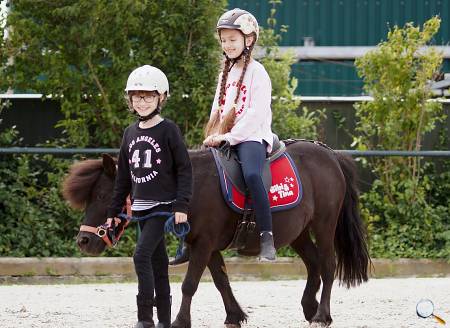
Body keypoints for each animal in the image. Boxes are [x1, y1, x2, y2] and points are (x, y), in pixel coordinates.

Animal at [64, 141, 372, 328]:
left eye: (103, 195)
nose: (84, 240)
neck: (190, 187)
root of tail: (331, 155)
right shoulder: (207, 246)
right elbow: (221, 281)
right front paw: (234, 315)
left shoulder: (204, 243)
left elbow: (189, 284)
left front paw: (180, 321)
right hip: (299, 233)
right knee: (314, 264)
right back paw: (310, 307)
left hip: (324, 224)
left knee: (328, 265)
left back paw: (322, 314)